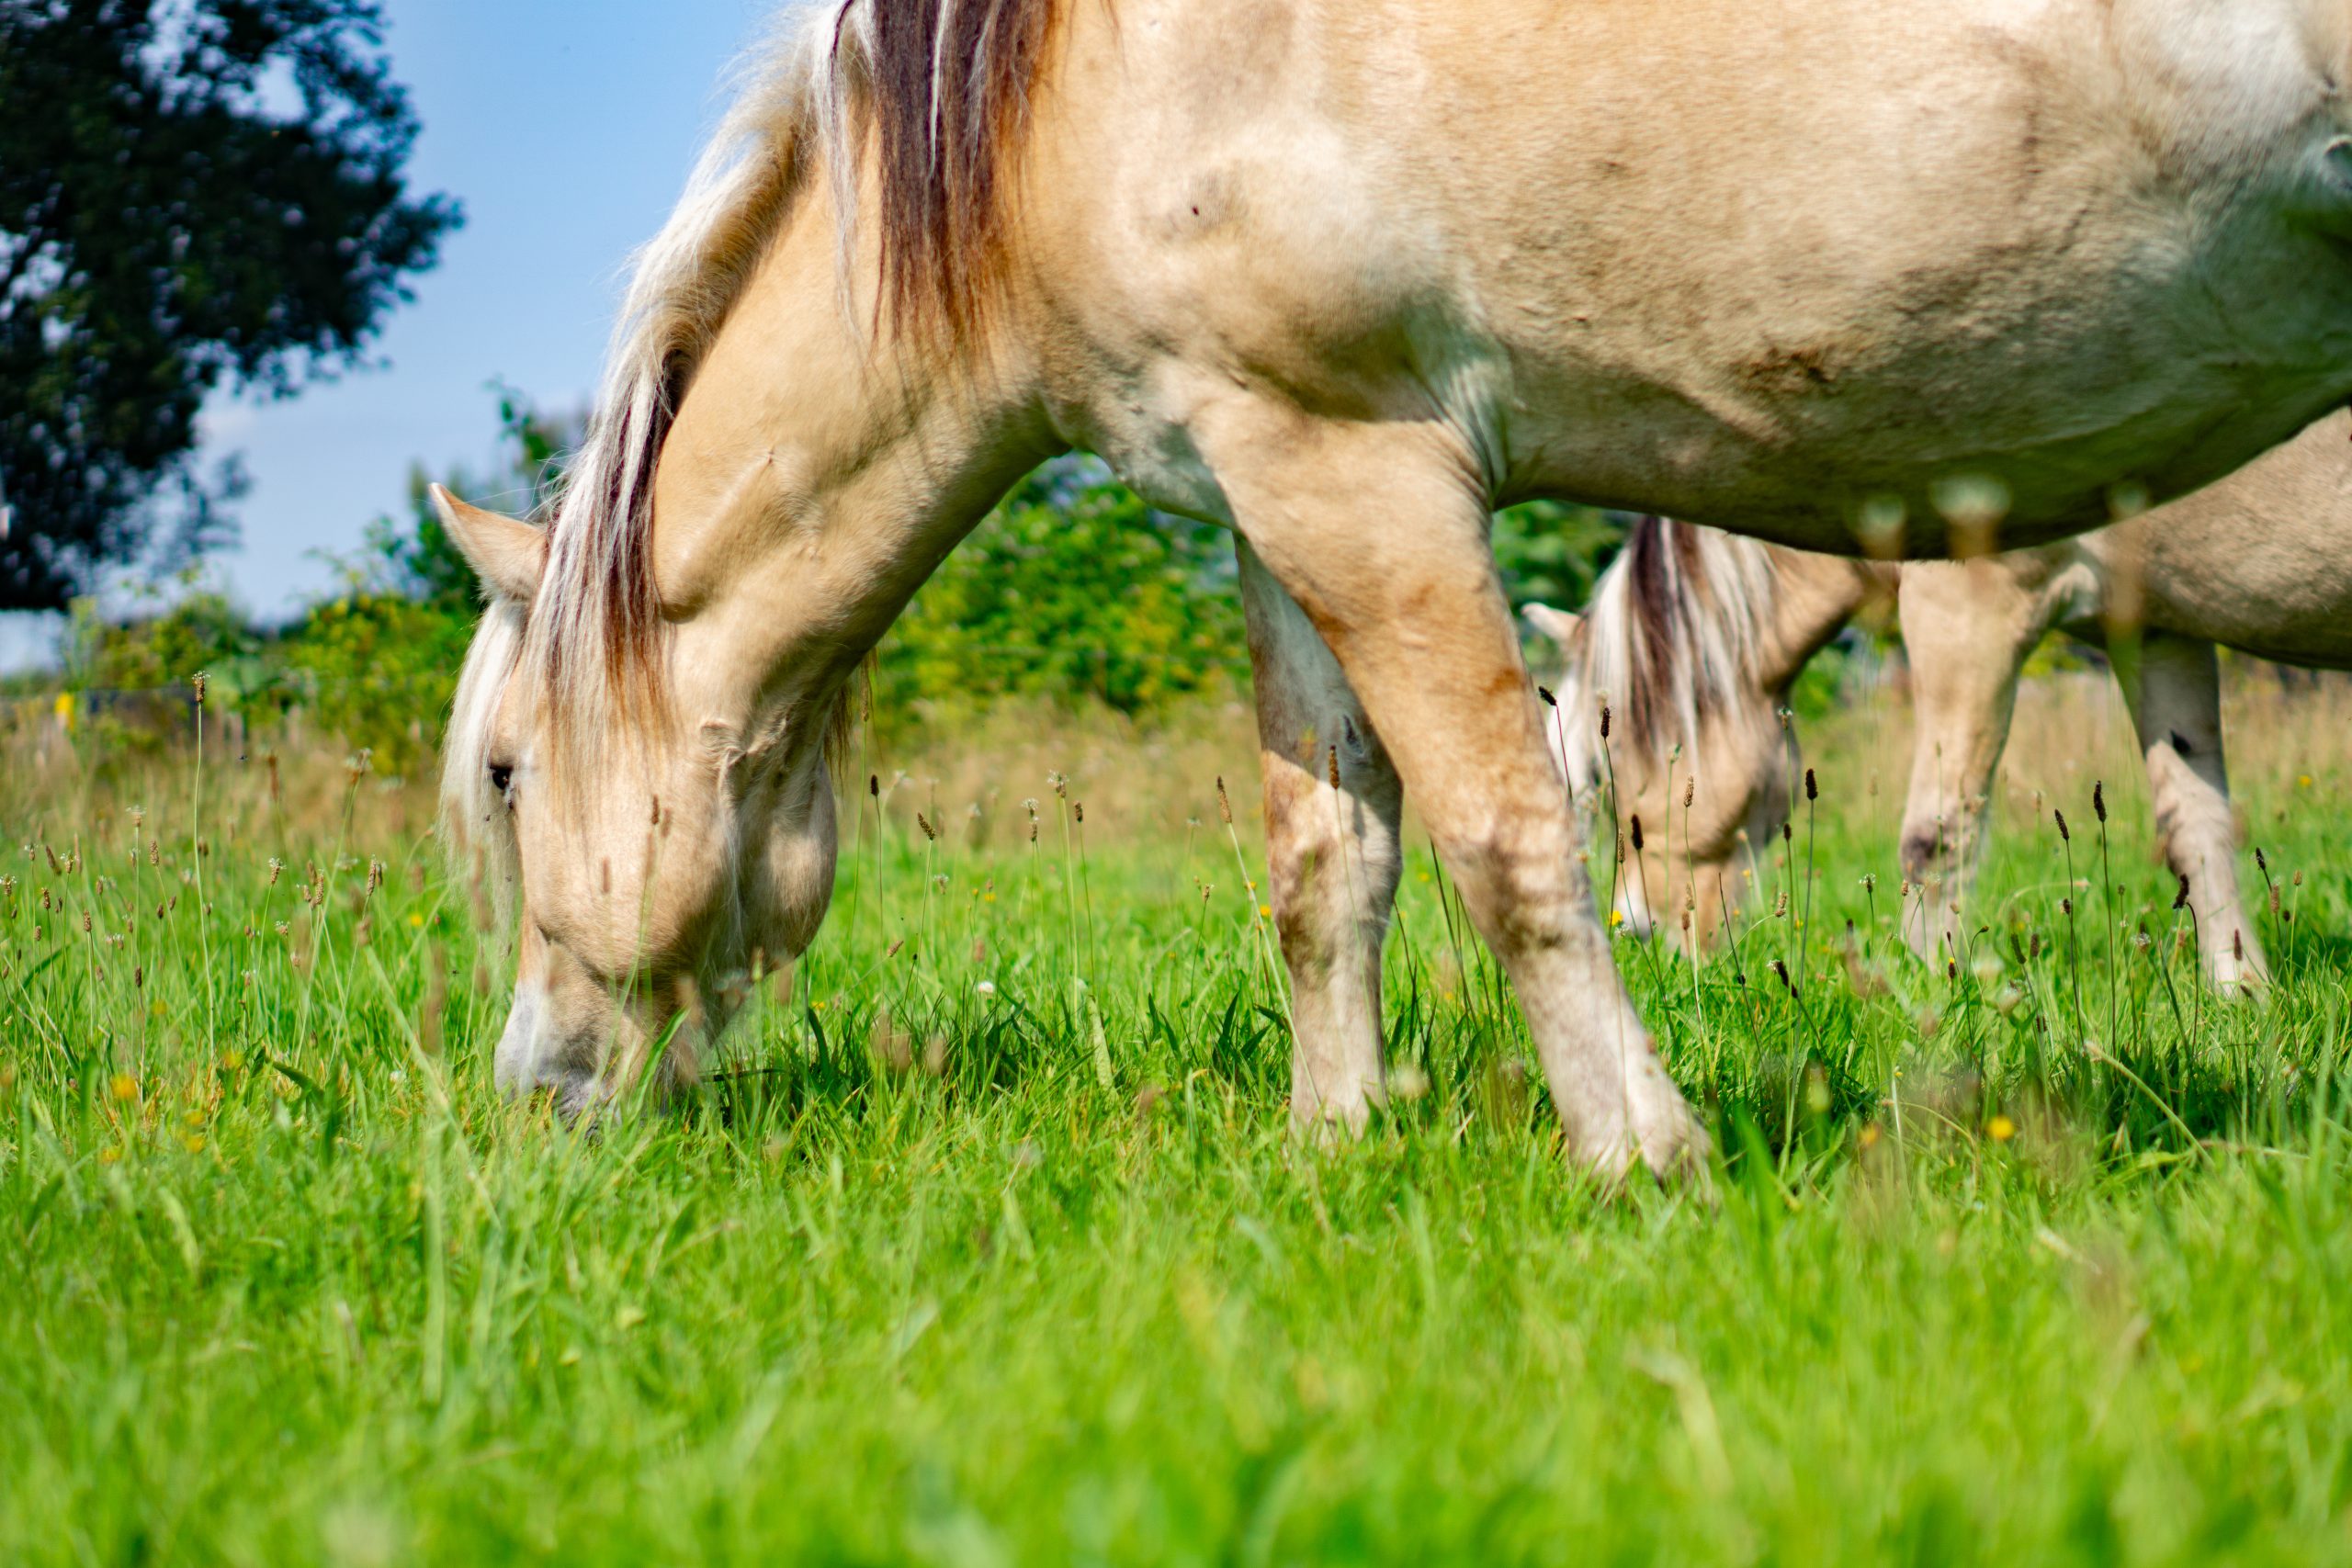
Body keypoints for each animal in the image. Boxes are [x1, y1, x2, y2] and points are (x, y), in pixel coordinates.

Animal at [1532, 409, 2352, 994]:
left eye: (1604, 774)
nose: (1635, 928)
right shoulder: (2154, 627)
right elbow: (2195, 826)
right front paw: (2239, 991)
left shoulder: (1965, 610)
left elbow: (1935, 835)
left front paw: (1933, 992)